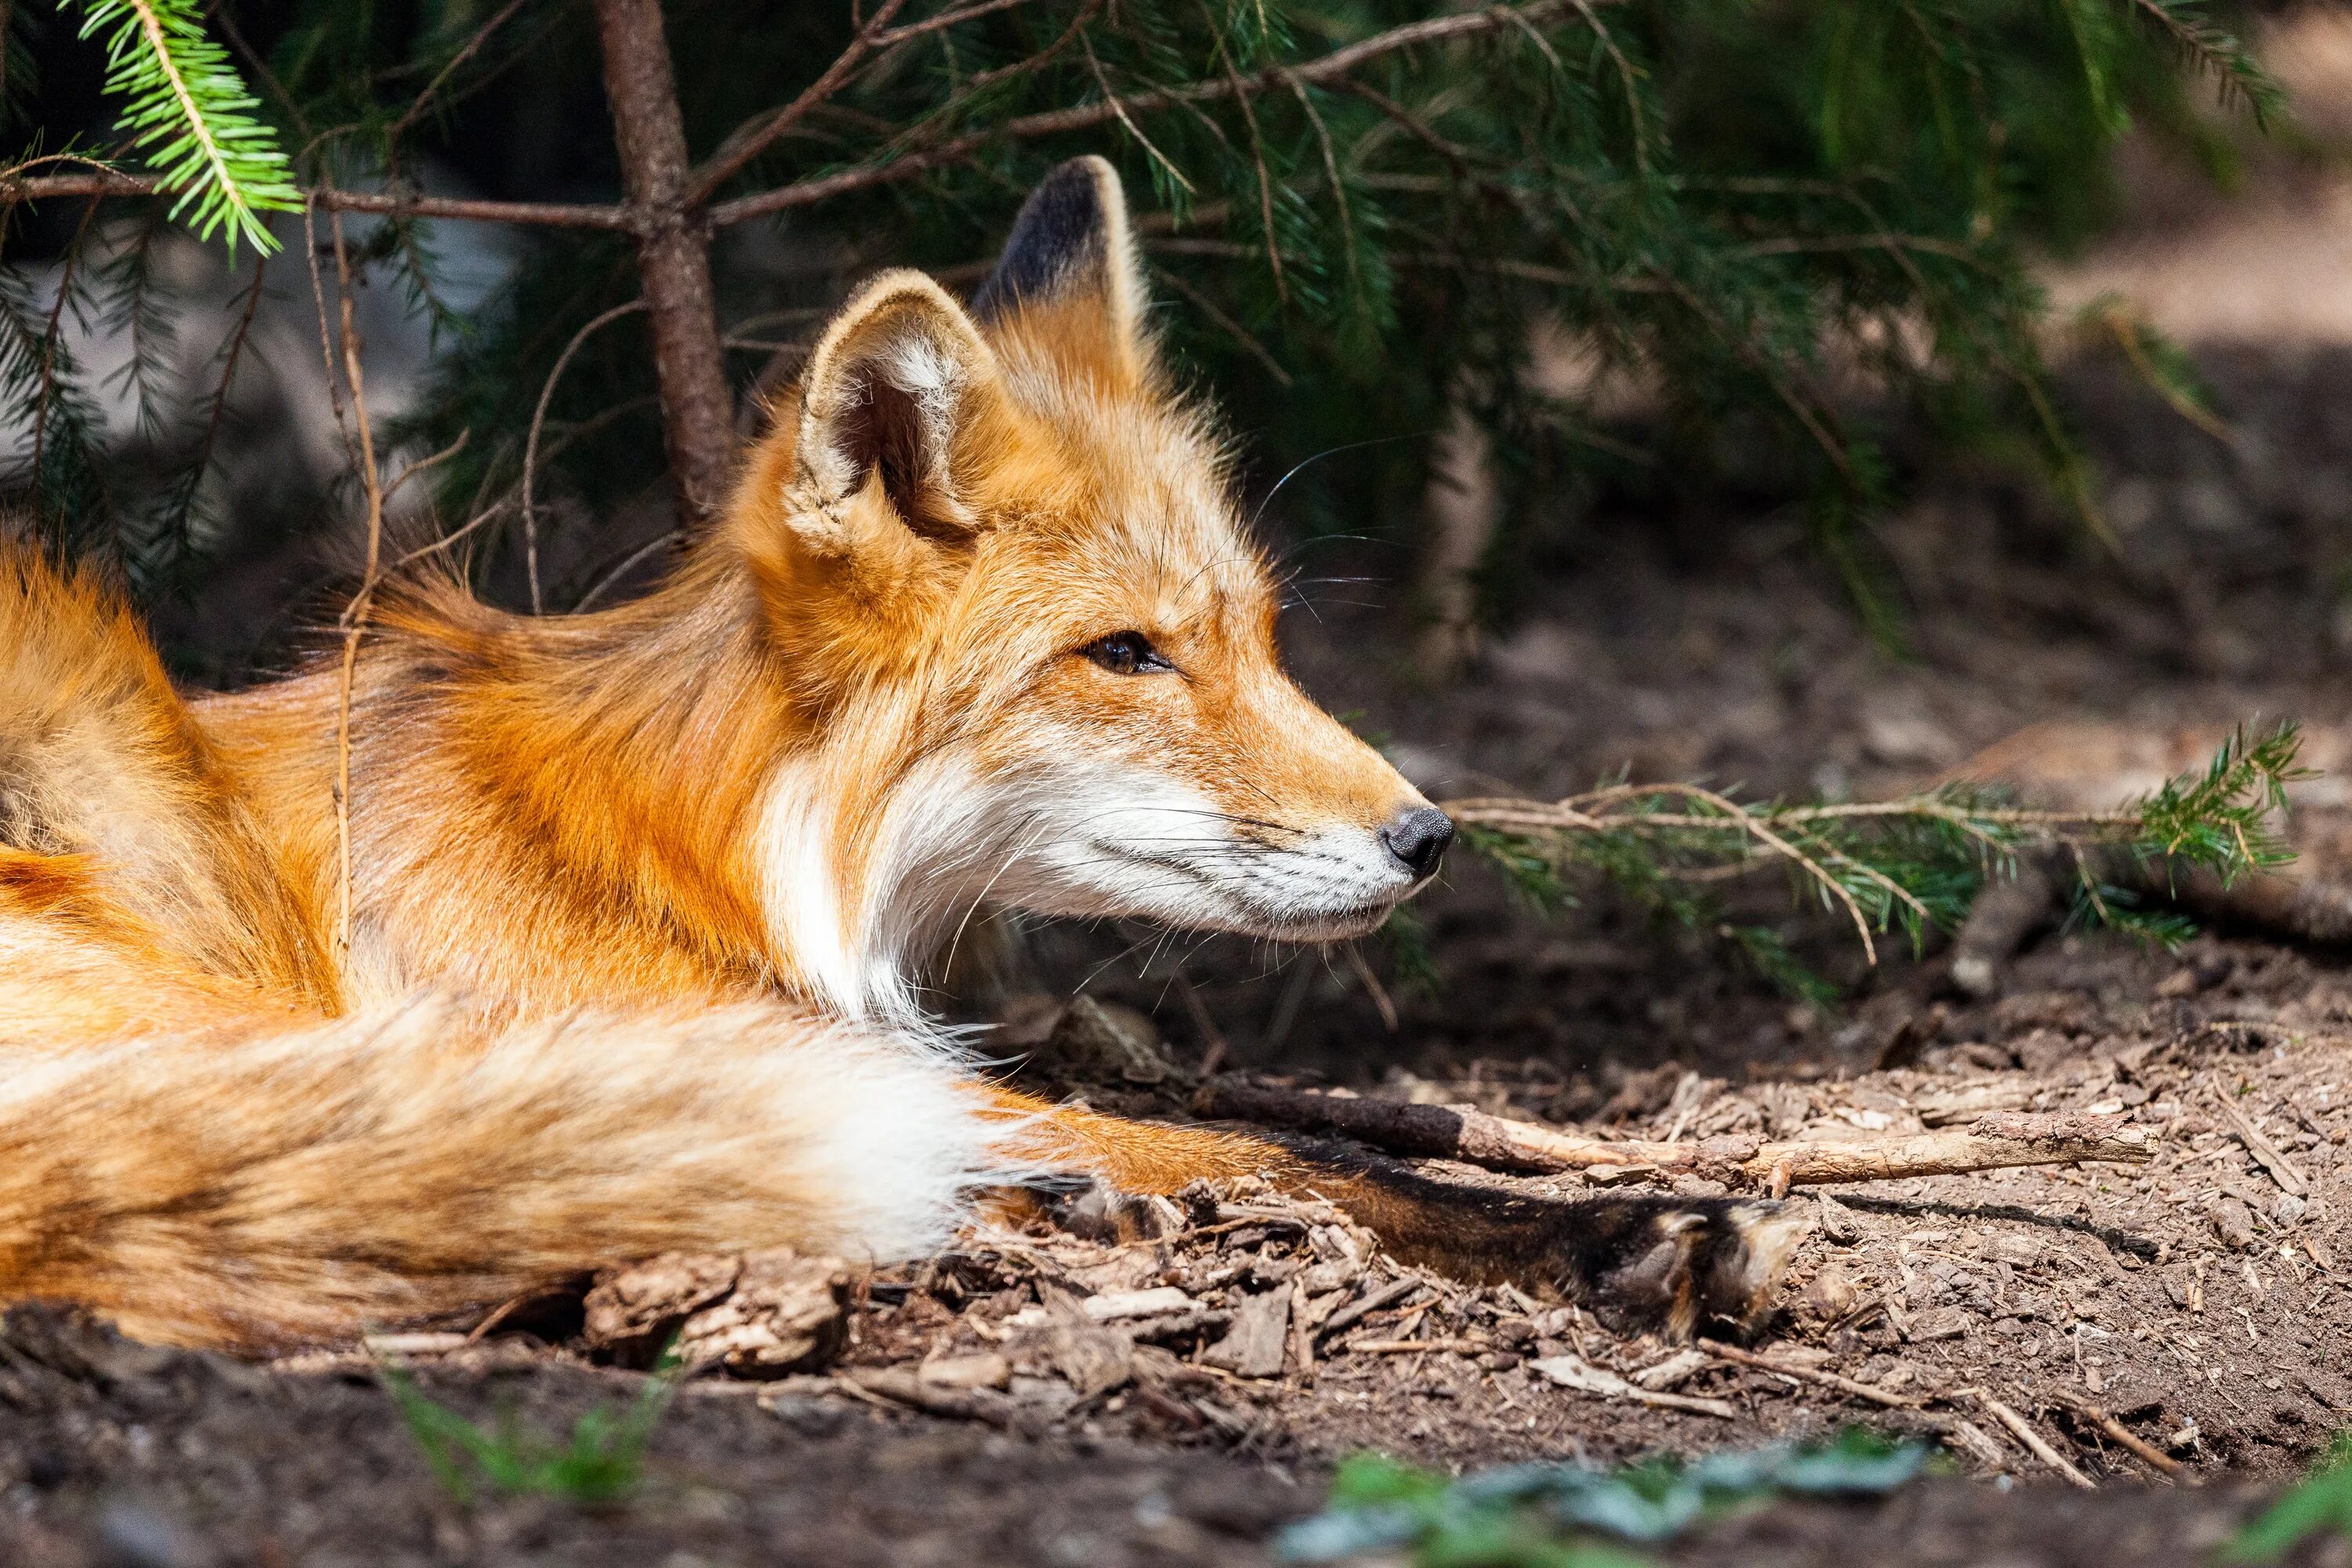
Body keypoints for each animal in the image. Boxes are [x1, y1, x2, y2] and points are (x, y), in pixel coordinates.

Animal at [0, 165, 1797, 1354]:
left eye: (1262, 635)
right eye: (1126, 654)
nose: (1430, 838)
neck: (696, 854)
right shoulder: (662, 1038)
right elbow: (1289, 1147)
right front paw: (1610, 1229)